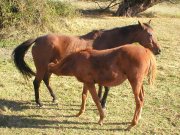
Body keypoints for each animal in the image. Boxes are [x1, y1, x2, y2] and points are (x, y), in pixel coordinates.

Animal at [11, 20, 160, 106]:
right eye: (150, 34)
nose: (158, 50)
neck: (107, 40)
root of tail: (38, 39)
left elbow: (101, 86)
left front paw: (98, 99)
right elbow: (106, 87)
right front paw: (102, 102)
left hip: (49, 67)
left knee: (46, 80)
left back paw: (54, 98)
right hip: (41, 67)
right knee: (37, 82)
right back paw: (39, 102)